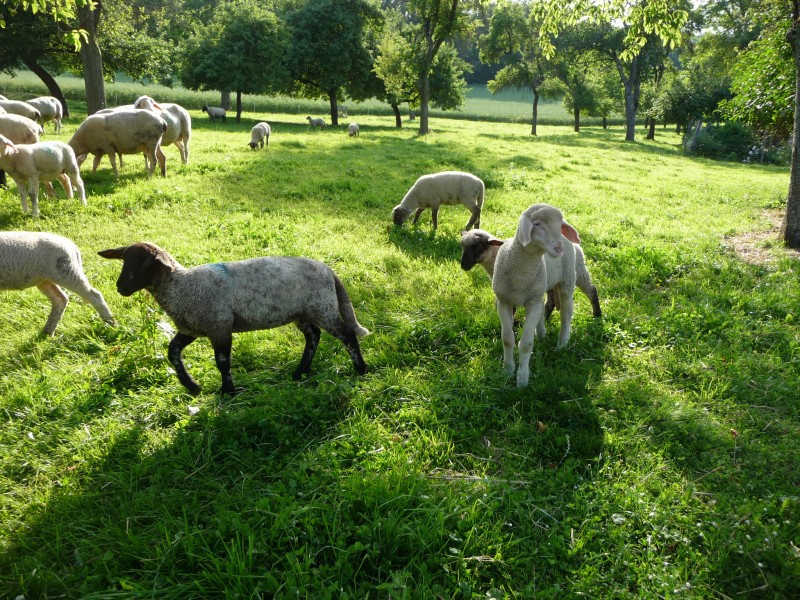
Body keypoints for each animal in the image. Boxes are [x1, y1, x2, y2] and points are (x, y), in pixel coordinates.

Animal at [100, 241, 372, 396]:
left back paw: (361, 369)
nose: (121, 287)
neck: (182, 287)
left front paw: (228, 391)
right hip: (302, 312)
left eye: (145, 262)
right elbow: (172, 352)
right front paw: (192, 386)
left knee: (347, 335)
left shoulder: (219, 326)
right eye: (125, 260)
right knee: (313, 337)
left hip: (322, 307)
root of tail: (329, 270)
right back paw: (300, 372)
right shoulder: (192, 328)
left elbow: (222, 362)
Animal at [460, 230, 604, 322]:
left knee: (592, 290)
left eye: (478, 245)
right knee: (551, 302)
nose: (463, 265)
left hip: (578, 272)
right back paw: (544, 320)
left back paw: (597, 315)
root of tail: (576, 246)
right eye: (462, 245)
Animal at [488, 204, 580, 386]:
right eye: (536, 224)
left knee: (566, 314)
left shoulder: (532, 301)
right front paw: (507, 370)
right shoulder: (504, 301)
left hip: (567, 281)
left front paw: (522, 379)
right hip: (540, 290)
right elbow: (507, 339)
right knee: (543, 307)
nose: (559, 248)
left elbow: (526, 343)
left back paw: (562, 343)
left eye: (560, 224)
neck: (520, 277)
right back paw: (542, 333)